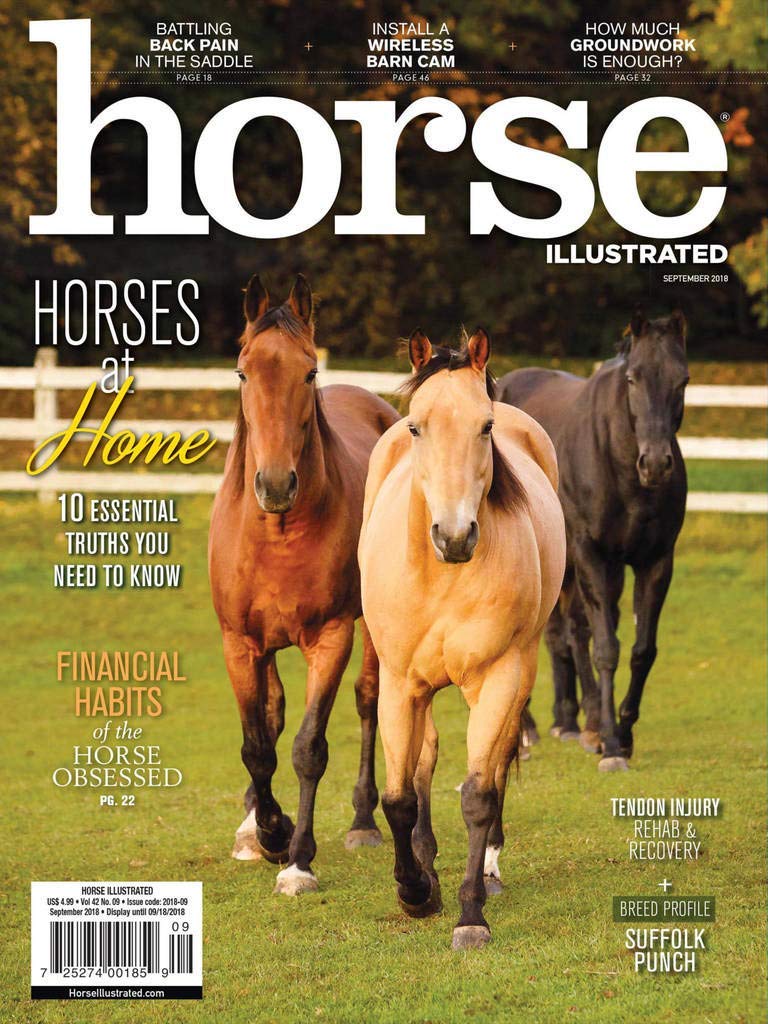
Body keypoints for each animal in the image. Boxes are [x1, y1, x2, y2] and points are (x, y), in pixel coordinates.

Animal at [209, 274, 399, 895]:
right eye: (242, 372)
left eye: (309, 372)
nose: (274, 484)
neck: (279, 532)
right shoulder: (239, 643)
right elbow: (258, 745)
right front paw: (267, 831)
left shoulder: (331, 638)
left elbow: (308, 748)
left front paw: (297, 859)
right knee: (272, 717)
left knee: (369, 700)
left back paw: (363, 821)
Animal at [359, 328, 565, 949]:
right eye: (415, 426)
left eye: (485, 426)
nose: (453, 536)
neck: (442, 576)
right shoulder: (400, 684)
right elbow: (399, 797)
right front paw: (415, 892)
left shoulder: (499, 679)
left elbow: (478, 794)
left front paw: (470, 914)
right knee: (423, 763)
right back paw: (426, 863)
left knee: (495, 769)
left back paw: (489, 870)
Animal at [496, 311, 688, 771]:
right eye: (633, 379)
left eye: (683, 380)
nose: (656, 464)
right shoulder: (591, 554)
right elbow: (605, 647)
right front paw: (612, 745)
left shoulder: (654, 562)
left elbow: (640, 648)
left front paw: (618, 731)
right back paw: (527, 732)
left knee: (566, 631)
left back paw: (570, 722)